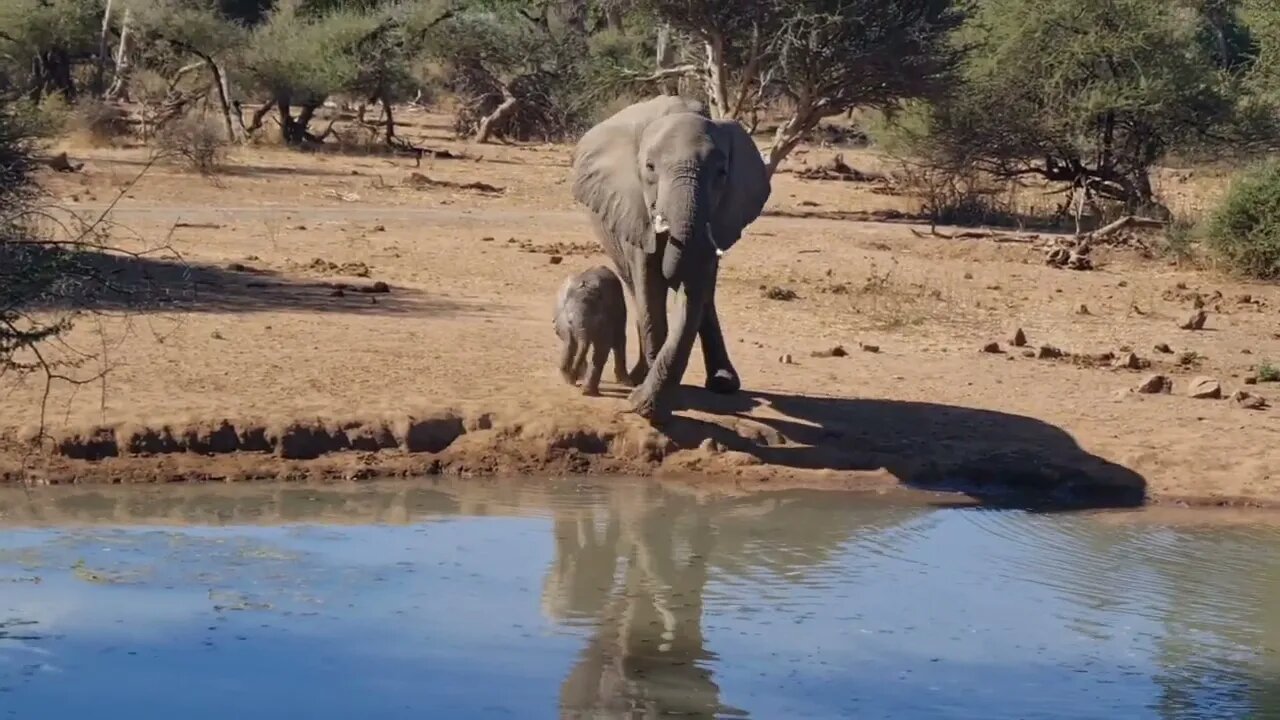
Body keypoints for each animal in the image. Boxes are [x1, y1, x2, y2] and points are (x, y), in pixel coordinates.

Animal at [555, 266, 629, 394]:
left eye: (597, 322)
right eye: (570, 321)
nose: (575, 382)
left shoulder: (608, 318)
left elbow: (602, 348)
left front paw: (587, 392)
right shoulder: (563, 321)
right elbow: (570, 343)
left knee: (619, 339)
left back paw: (625, 382)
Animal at [570, 98, 768, 417]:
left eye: (722, 173)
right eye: (650, 168)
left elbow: (694, 292)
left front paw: (649, 404)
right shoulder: (634, 209)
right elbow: (649, 286)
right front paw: (645, 399)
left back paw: (723, 382)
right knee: (636, 289)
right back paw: (637, 376)